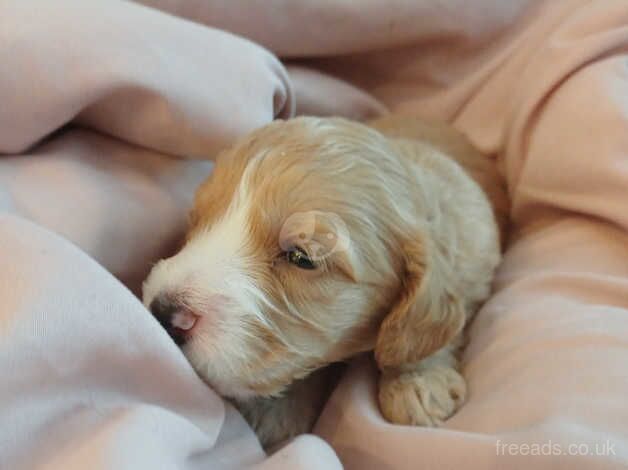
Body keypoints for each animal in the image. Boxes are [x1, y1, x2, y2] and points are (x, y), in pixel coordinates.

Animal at [142, 115, 506, 450]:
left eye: (301, 258)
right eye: (197, 224)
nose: (164, 314)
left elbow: (431, 332)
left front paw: (418, 382)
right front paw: (275, 410)